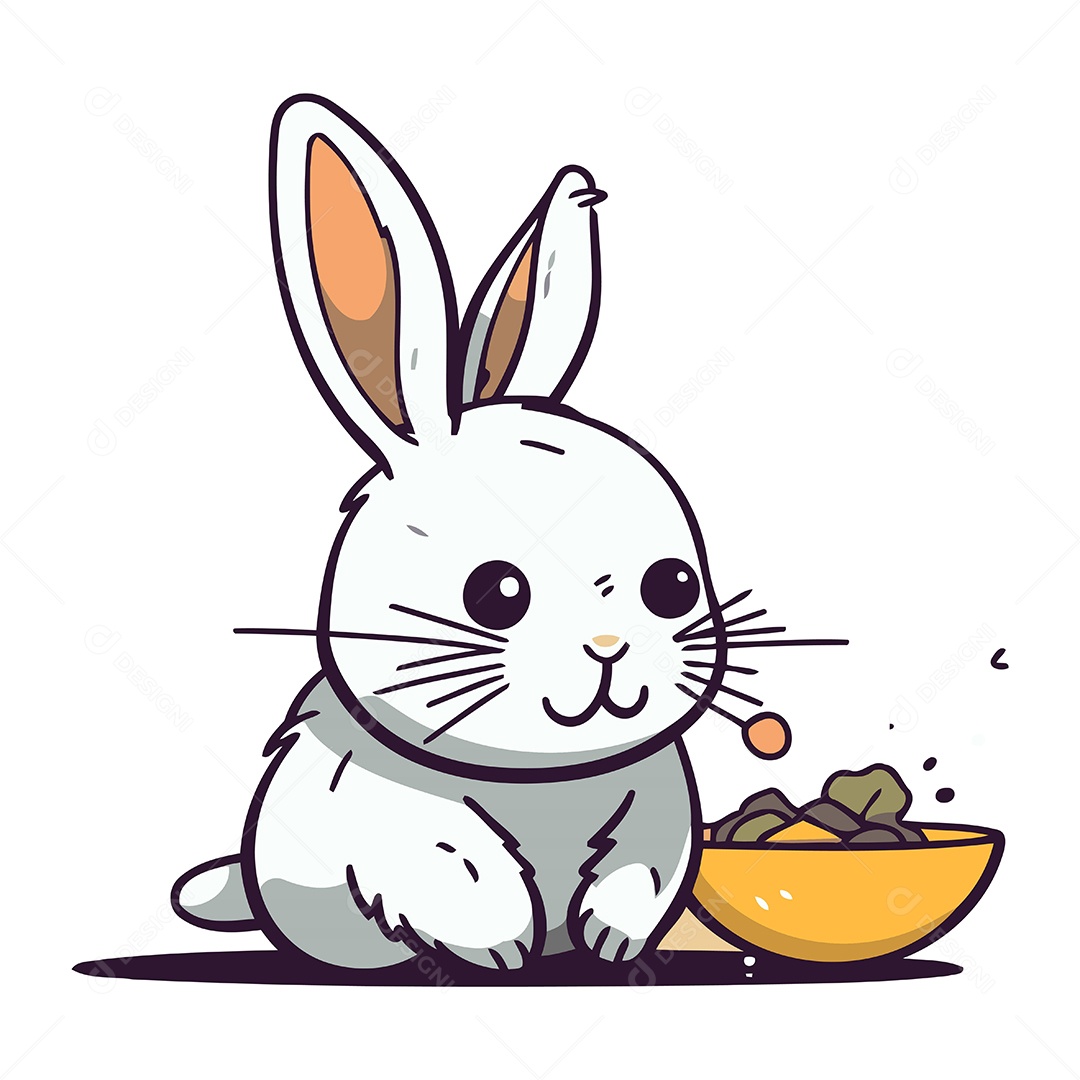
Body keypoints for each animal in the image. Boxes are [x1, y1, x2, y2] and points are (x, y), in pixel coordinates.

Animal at [170, 93, 746, 971]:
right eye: (497, 593)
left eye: (673, 585)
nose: (610, 648)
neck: (539, 778)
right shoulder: (394, 813)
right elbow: (455, 867)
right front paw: (502, 951)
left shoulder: (657, 795)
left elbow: (644, 866)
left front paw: (609, 942)